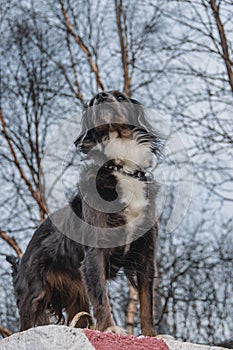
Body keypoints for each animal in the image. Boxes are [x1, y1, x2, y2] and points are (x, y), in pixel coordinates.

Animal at [8, 91, 162, 336]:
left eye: (120, 97)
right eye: (91, 102)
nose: (101, 96)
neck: (120, 167)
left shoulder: (146, 254)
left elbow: (147, 302)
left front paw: (151, 335)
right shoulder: (94, 254)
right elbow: (101, 296)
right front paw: (109, 328)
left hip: (76, 295)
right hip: (34, 296)